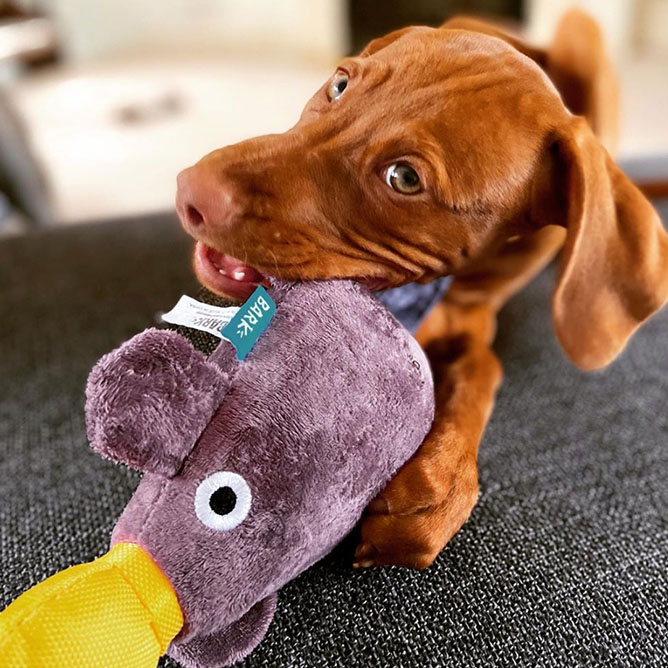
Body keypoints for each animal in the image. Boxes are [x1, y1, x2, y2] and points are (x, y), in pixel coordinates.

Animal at [174, 11, 668, 568]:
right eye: (339, 85)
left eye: (405, 177)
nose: (191, 192)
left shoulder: (477, 318)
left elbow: (483, 368)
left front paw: (443, 479)